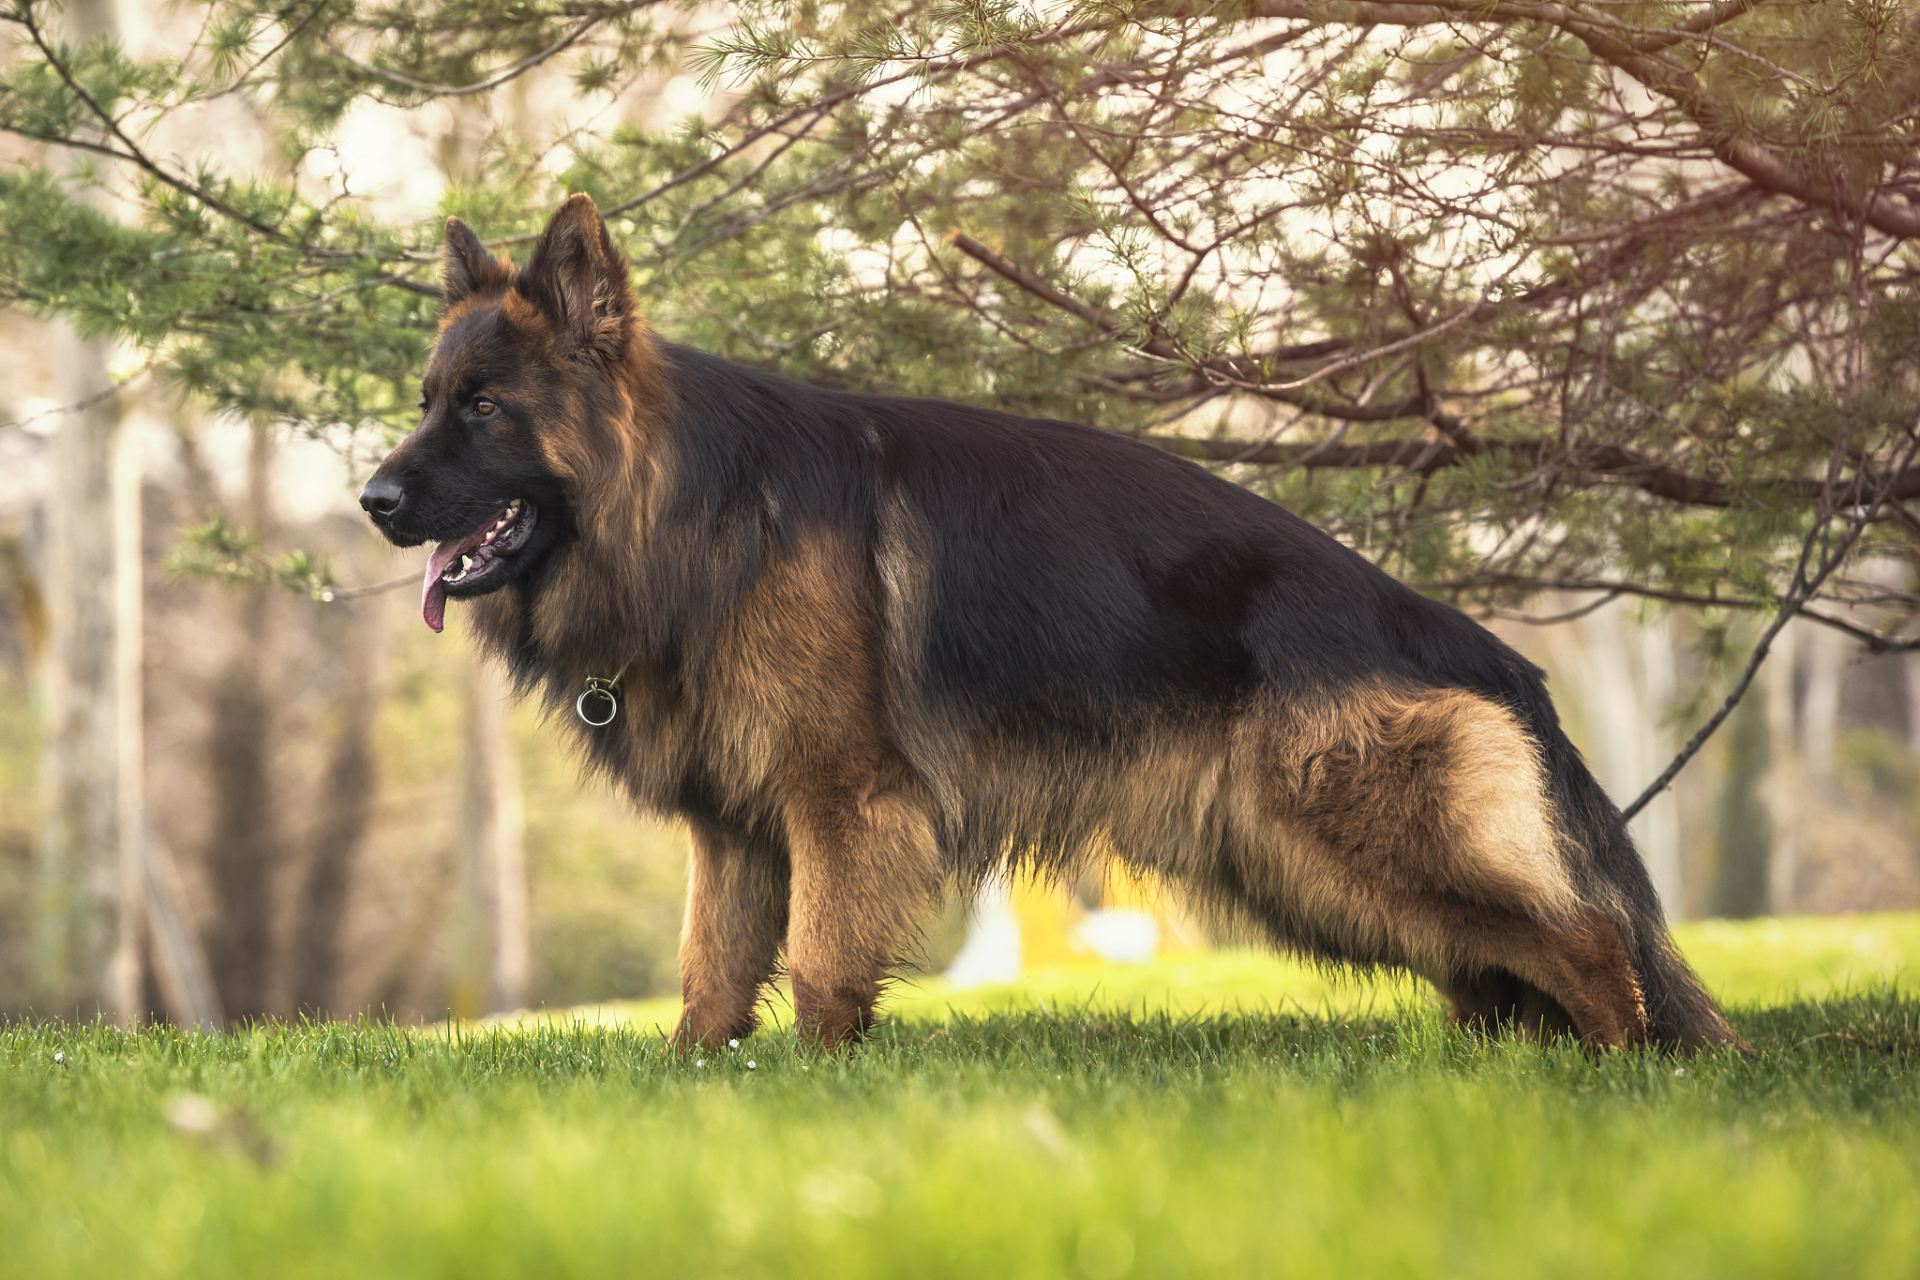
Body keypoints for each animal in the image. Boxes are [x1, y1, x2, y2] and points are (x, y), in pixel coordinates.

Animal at [360, 189, 1743, 1051]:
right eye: (428, 398)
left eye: (482, 408)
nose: (371, 501)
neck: (697, 511)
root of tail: (1479, 643)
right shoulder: (740, 825)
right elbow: (710, 982)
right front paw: (703, 1091)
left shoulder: (842, 802)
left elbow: (819, 969)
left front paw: (815, 1090)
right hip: (1304, 863)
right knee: (1500, 964)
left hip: (1346, 828)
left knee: (1586, 942)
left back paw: (1623, 1080)